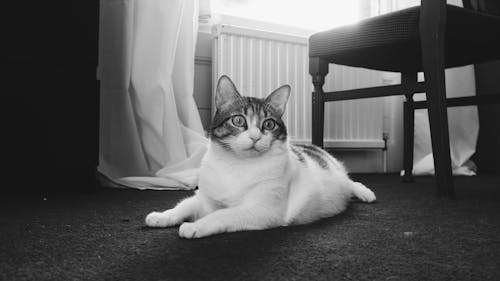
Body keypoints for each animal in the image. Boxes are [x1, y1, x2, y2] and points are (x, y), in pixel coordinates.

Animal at [145, 75, 376, 238]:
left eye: (269, 124)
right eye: (238, 120)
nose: (256, 136)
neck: (237, 165)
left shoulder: (263, 210)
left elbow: (222, 214)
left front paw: (195, 226)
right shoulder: (206, 199)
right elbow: (185, 205)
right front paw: (163, 216)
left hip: (337, 173)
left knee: (350, 181)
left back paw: (365, 193)